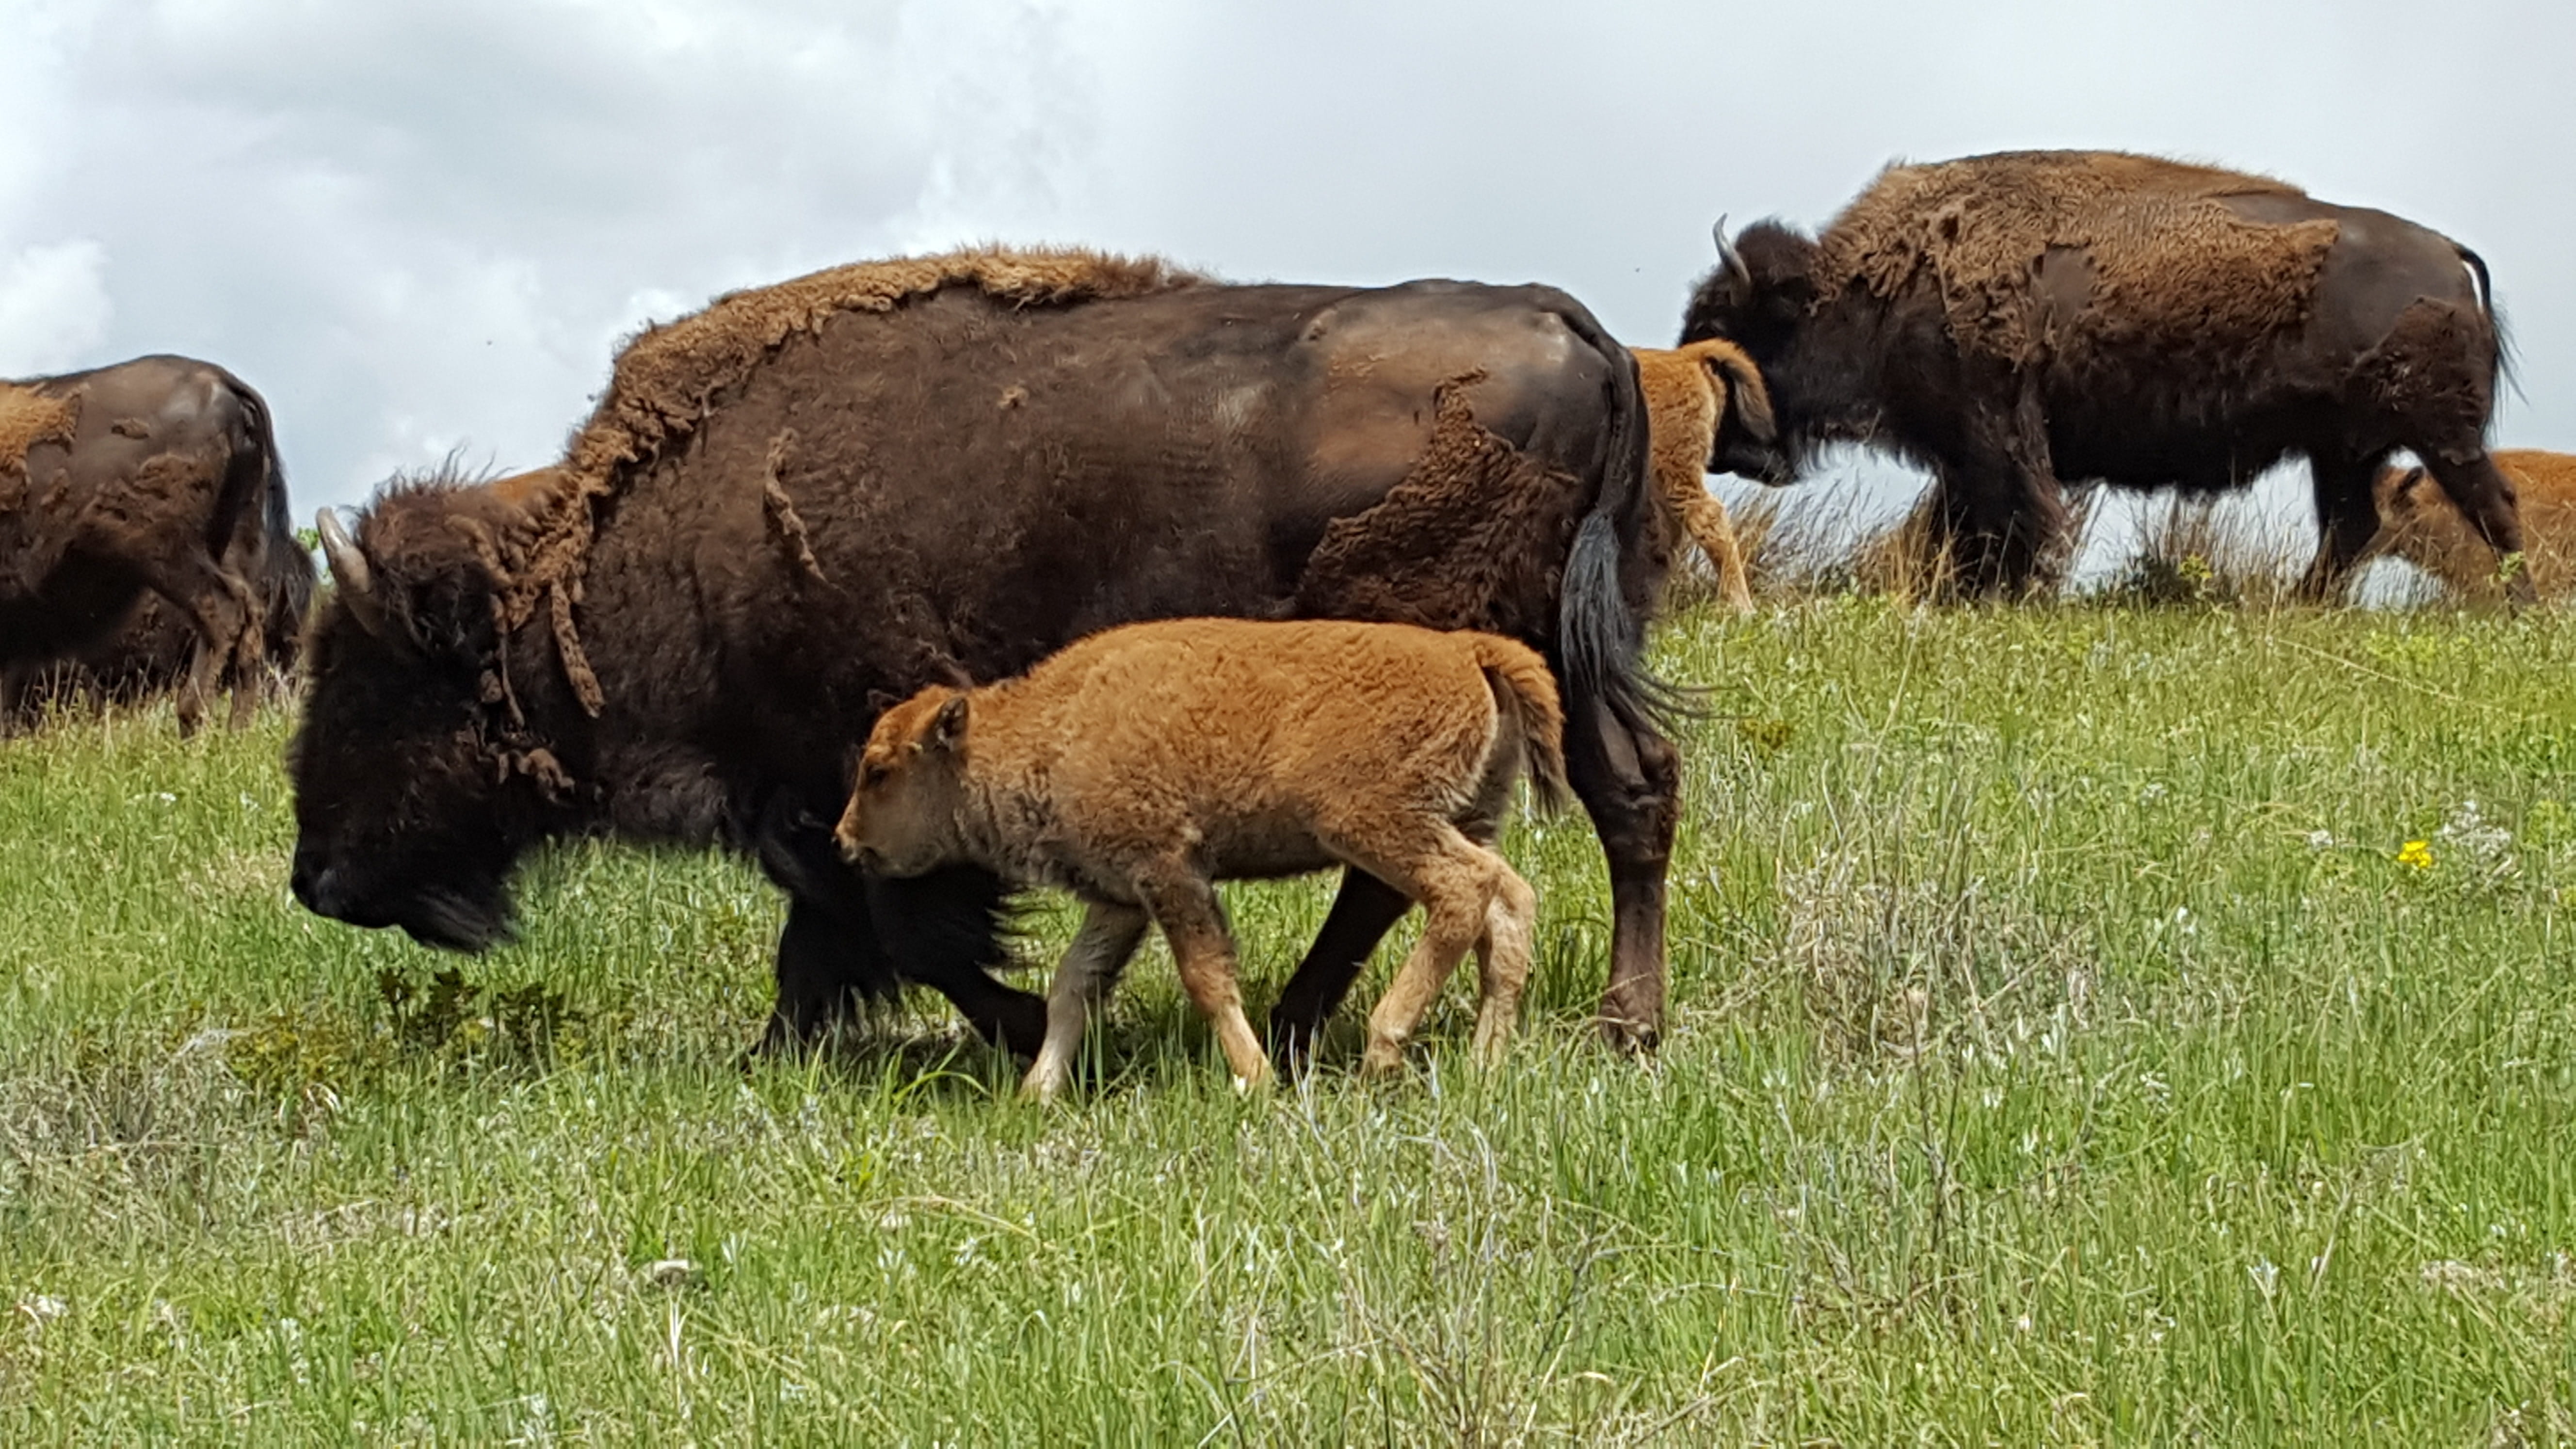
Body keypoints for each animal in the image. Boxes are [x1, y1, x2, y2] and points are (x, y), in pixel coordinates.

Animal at [2, 355, 290, 733]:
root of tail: (223, 382)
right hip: (234, 540)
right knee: (249, 616)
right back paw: (236, 729)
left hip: (166, 555)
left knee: (223, 611)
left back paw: (193, 721)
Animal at [289, 247, 1724, 1056]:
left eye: (372, 683)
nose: (318, 880)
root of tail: (1577, 331)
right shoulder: (818, 802)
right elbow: (834, 933)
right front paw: (780, 1049)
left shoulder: (839, 779)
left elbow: (895, 923)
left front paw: (1024, 1027)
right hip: (1559, 655)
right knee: (1631, 792)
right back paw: (1619, 1023)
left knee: (1426, 858)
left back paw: (1333, 1022)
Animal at [1682, 150, 2526, 598]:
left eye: (1730, 328)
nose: (1723, 451)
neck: (1884, 282)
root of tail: (2447, 253)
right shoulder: (1963, 451)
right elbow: (1963, 526)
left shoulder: (1995, 434)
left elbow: (2011, 520)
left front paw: (2005, 595)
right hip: (2343, 448)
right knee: (2353, 528)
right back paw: (2294, 606)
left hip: (2436, 434)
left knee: (2492, 507)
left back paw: (2523, 610)